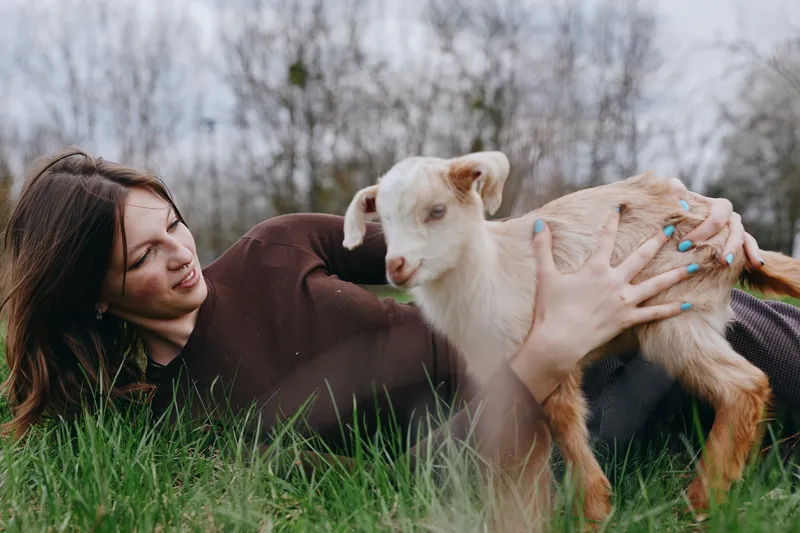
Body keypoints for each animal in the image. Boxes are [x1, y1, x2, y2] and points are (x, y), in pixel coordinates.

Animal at [341, 150, 800, 525]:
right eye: (382, 219)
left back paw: (700, 502)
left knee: (744, 386)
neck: (493, 270)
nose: (397, 267)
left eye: (437, 210)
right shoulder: (509, 375)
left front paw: (592, 510)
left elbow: (564, 426)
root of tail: (739, 248)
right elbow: (523, 461)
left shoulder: (554, 355)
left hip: (675, 314)